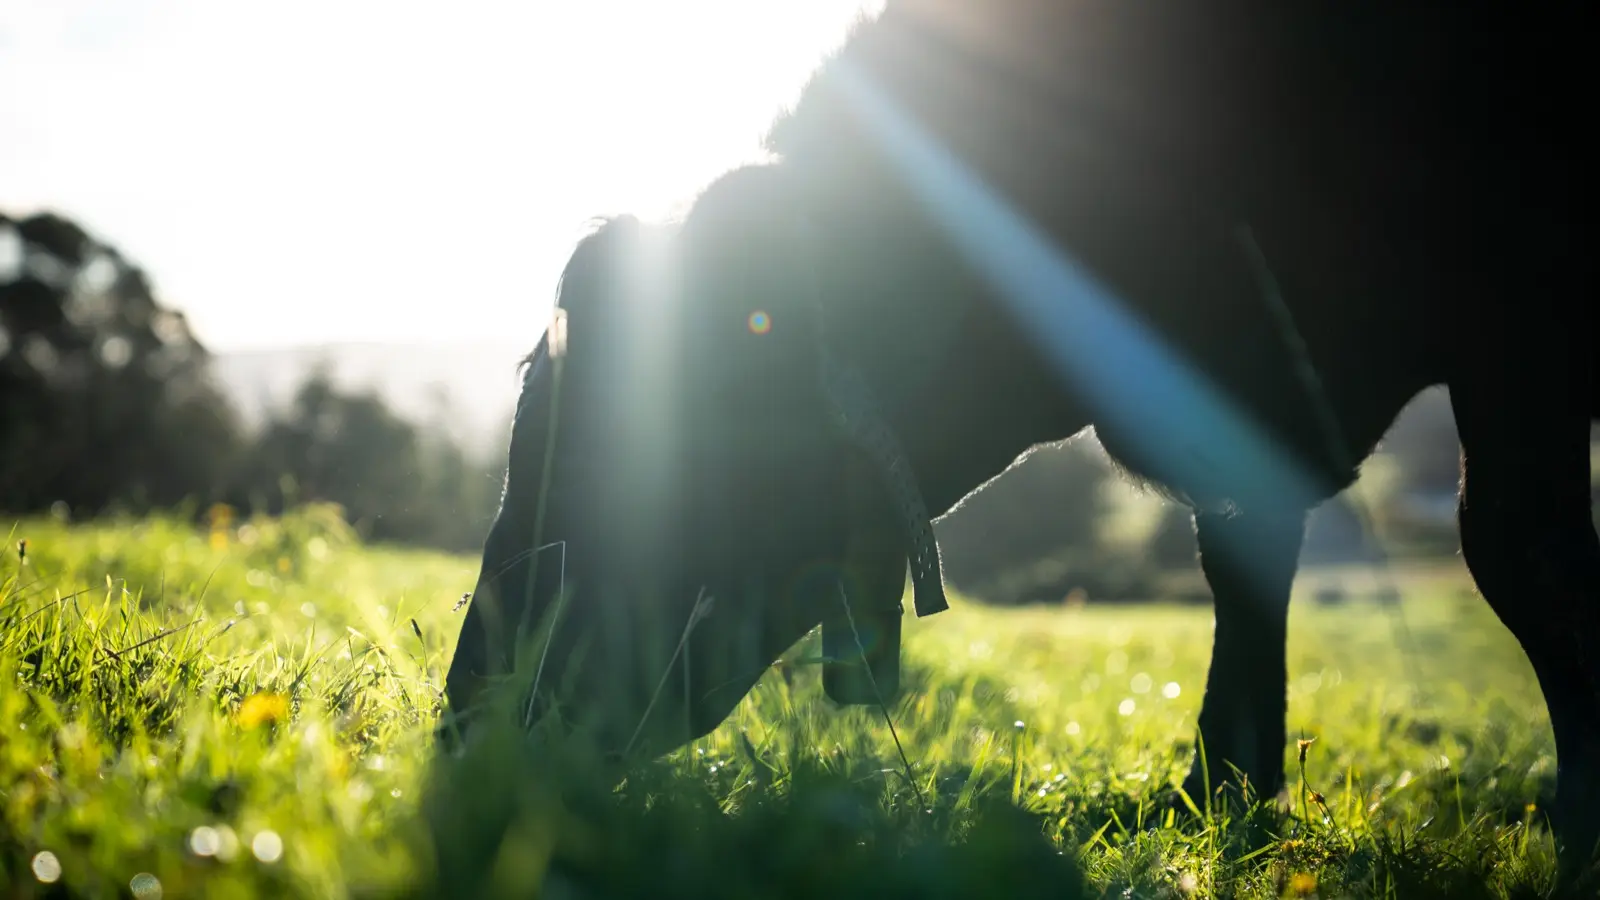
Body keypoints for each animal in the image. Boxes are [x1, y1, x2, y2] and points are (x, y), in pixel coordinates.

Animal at [441, 0, 1598, 876]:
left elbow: (1521, 552)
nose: (469, 725)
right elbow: (1238, 573)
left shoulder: (1520, 312)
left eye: (625, 443)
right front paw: (1216, 798)